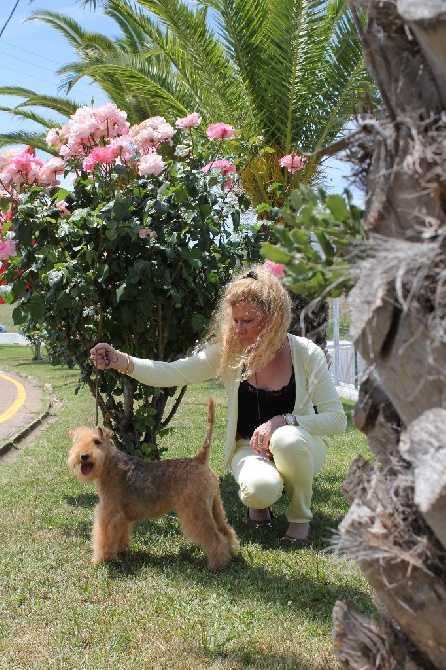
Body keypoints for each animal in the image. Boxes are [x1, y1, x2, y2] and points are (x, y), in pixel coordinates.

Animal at [67, 400, 239, 572]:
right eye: (77, 441)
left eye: (97, 441)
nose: (83, 456)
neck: (109, 464)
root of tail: (200, 460)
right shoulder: (120, 514)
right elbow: (121, 533)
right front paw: (122, 550)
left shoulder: (108, 511)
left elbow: (103, 537)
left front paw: (100, 560)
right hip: (214, 506)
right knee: (226, 530)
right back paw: (231, 552)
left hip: (196, 511)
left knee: (214, 537)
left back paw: (217, 564)